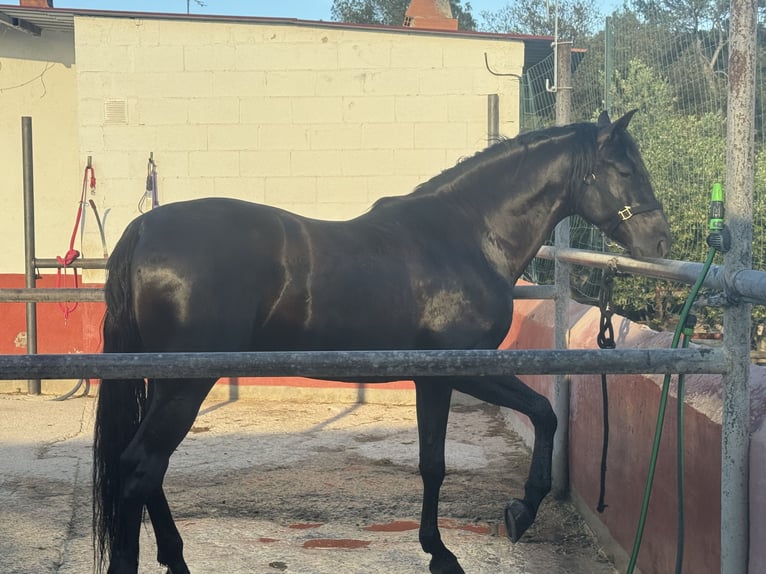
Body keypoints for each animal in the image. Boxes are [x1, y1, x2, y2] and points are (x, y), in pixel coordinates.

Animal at [94, 110, 672, 572]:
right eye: (625, 171)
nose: (661, 241)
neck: (464, 235)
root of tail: (142, 231)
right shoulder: (461, 369)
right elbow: (527, 421)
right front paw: (507, 519)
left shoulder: (432, 378)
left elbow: (440, 458)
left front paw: (453, 542)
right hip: (185, 385)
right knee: (140, 467)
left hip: (169, 384)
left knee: (148, 469)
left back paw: (175, 558)